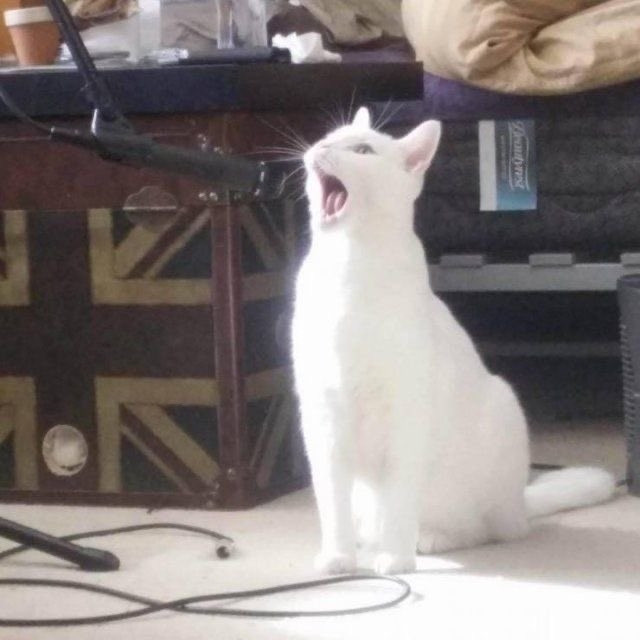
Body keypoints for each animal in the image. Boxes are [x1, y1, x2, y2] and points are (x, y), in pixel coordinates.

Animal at [292, 106, 616, 576]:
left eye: (363, 150)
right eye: (327, 137)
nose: (317, 148)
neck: (347, 262)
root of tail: (521, 504)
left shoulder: (405, 413)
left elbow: (399, 497)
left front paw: (395, 560)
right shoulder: (322, 415)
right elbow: (331, 498)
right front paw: (339, 559)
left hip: (502, 406)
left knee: (487, 531)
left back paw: (427, 539)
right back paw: (369, 543)